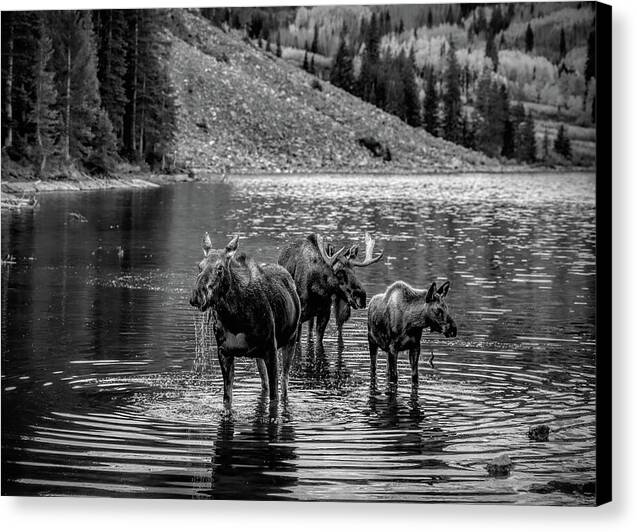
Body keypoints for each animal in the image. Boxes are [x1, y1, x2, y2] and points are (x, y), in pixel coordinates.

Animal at [189, 233, 300, 412]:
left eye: (220, 268)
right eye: (200, 266)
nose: (197, 296)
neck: (235, 318)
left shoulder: (271, 349)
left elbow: (274, 398)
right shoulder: (224, 352)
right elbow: (227, 399)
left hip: (291, 340)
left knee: (284, 384)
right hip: (259, 355)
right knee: (265, 384)